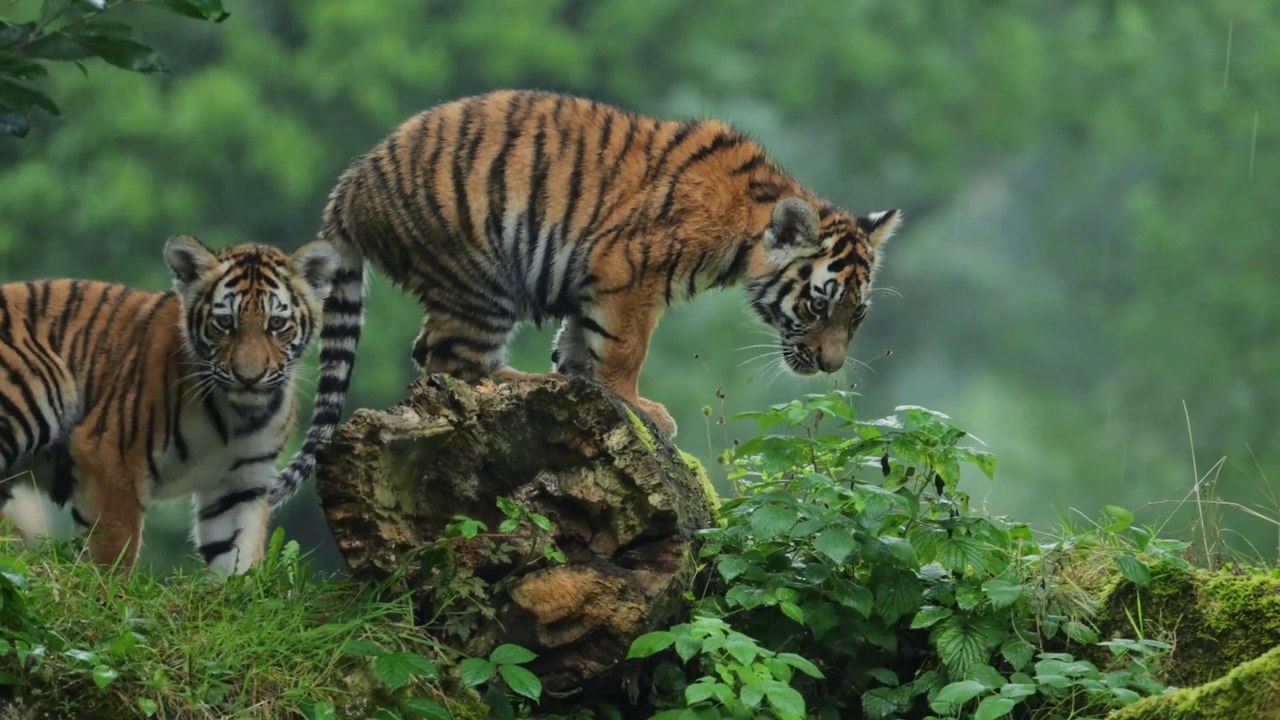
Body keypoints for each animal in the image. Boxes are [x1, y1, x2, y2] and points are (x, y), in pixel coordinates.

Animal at [0, 236, 337, 574]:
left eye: (276, 323)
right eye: (225, 322)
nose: (248, 377)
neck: (238, 416)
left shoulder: (241, 485)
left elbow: (238, 559)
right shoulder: (108, 456)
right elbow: (114, 546)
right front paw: (106, 584)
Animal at [272, 89, 901, 505]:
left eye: (857, 316)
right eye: (819, 305)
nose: (831, 365)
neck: (746, 228)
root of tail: (351, 185)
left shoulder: (590, 282)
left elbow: (580, 342)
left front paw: (582, 383)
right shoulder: (627, 274)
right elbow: (624, 349)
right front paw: (637, 406)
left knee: (431, 356)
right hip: (481, 277)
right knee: (452, 364)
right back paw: (522, 383)